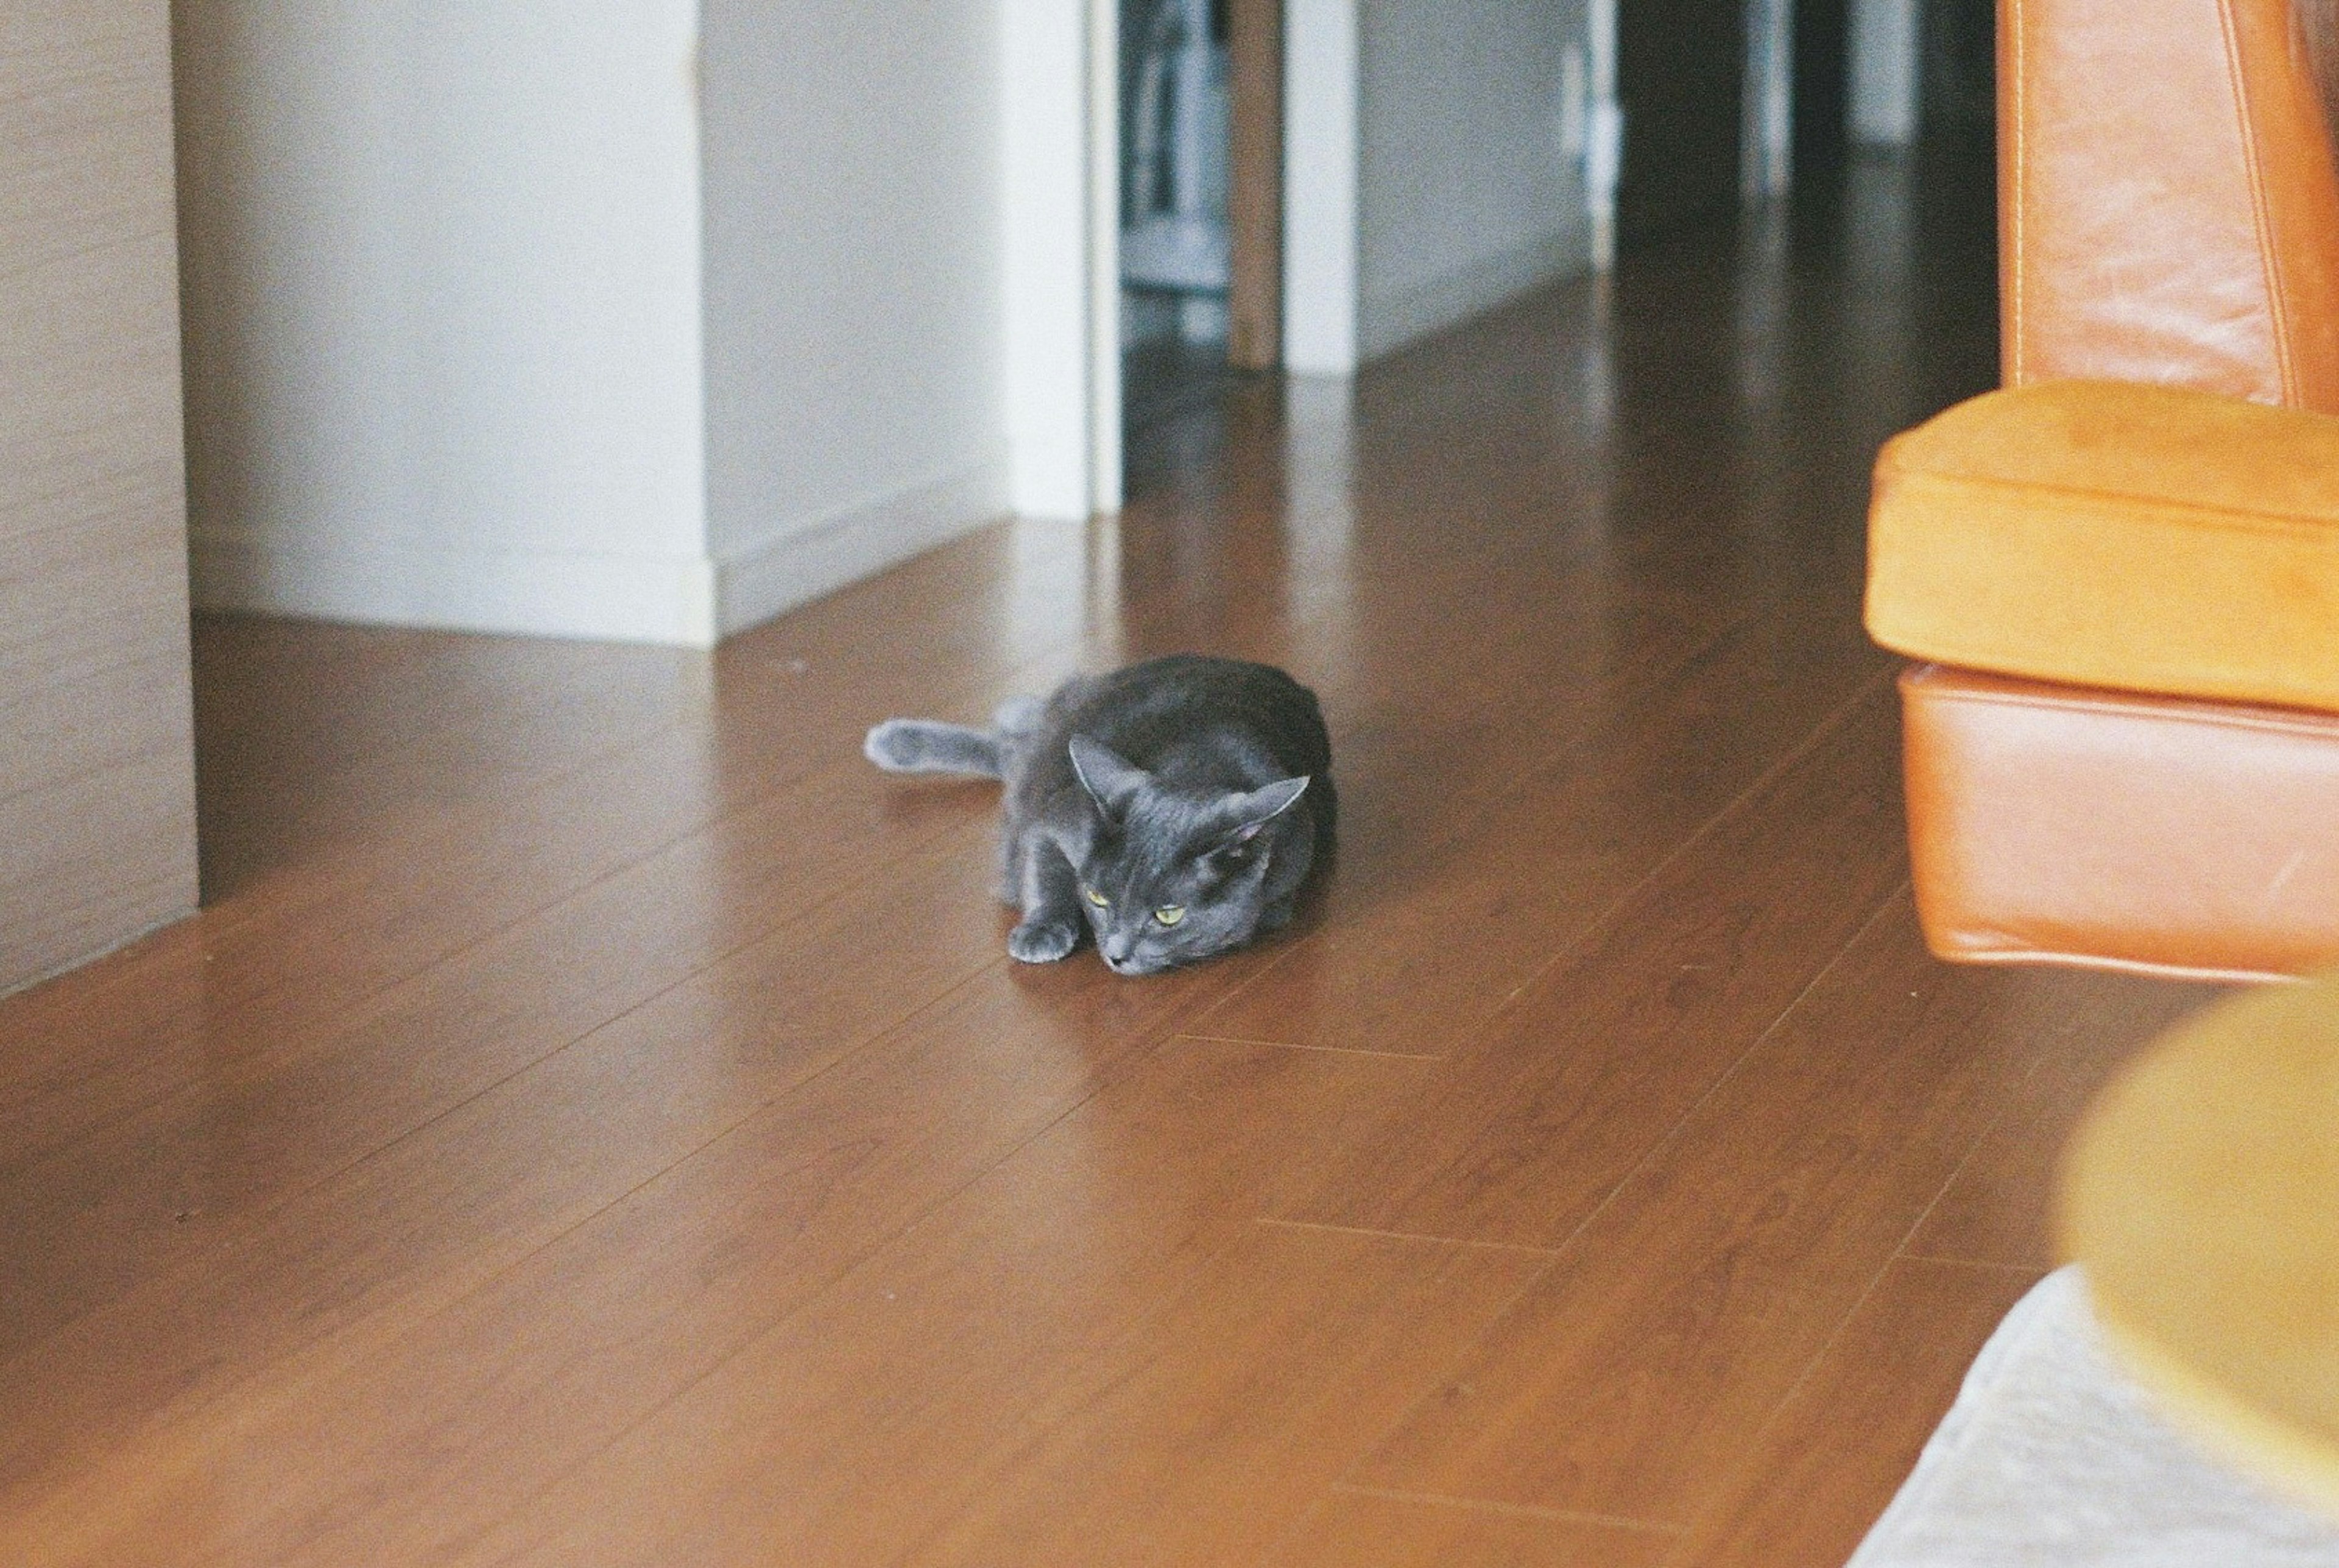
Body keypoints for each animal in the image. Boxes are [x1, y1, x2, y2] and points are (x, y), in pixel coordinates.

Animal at [865, 655, 1338, 978]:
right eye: (1097, 898)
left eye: (1168, 916)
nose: (1115, 954)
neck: (1196, 765)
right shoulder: (1057, 818)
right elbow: (1046, 873)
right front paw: (1041, 931)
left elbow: (1262, 915)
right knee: (1014, 754)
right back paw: (900, 739)